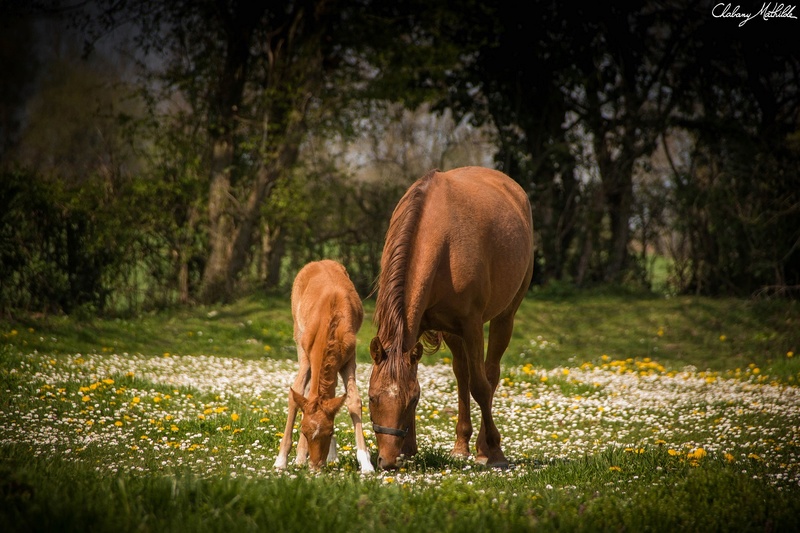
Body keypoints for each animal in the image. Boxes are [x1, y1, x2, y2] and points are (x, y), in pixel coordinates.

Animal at [276, 258, 376, 470]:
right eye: (303, 431)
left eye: (329, 432)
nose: (315, 466)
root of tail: (319, 261)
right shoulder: (307, 356)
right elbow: (296, 392)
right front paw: (282, 459)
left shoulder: (349, 358)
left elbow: (353, 400)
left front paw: (365, 463)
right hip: (298, 335)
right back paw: (299, 456)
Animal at [368, 166, 532, 470]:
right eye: (372, 398)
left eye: (412, 400)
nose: (388, 461)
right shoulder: (423, 327)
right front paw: (410, 449)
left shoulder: (472, 325)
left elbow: (481, 387)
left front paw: (495, 451)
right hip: (453, 332)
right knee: (461, 373)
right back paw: (461, 444)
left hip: (504, 317)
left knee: (490, 373)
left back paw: (484, 448)